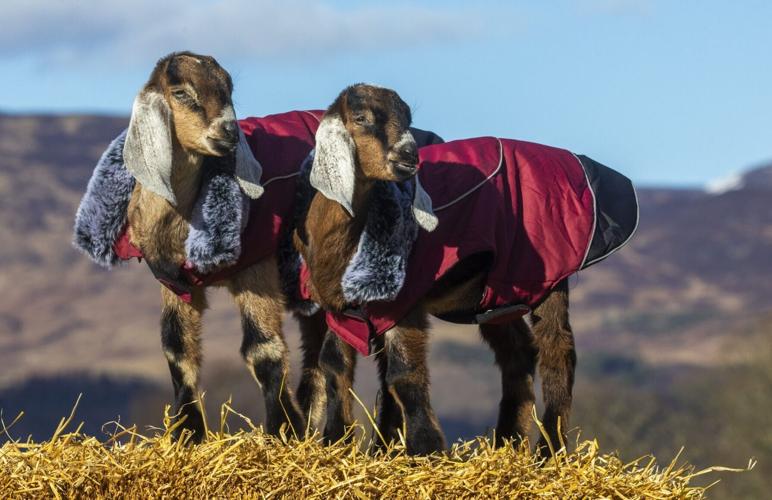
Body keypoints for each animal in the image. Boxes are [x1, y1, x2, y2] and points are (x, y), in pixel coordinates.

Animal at [119, 52, 327, 441]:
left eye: (229, 89)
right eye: (181, 92)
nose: (228, 132)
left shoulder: (256, 267)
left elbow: (263, 348)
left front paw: (283, 429)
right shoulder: (175, 282)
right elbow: (177, 350)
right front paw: (187, 433)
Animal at [294, 84, 623, 455]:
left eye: (408, 119)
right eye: (361, 118)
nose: (409, 156)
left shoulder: (405, 299)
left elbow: (403, 373)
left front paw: (426, 448)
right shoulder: (342, 306)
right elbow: (334, 363)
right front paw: (338, 442)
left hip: (551, 270)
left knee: (557, 351)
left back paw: (549, 451)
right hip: (495, 293)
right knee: (519, 351)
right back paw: (507, 442)